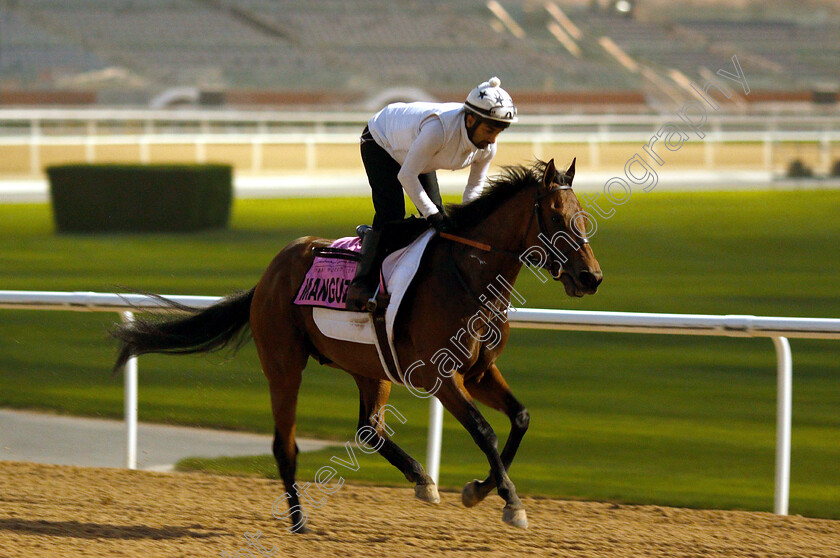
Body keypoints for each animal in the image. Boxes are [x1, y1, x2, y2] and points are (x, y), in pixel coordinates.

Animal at [110, 158, 604, 532]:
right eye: (556, 217)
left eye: (581, 216)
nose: (591, 277)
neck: (467, 275)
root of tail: (269, 273)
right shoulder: (441, 375)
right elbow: (484, 430)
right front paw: (510, 502)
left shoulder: (480, 372)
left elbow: (520, 418)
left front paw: (477, 490)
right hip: (284, 365)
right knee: (285, 444)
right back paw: (299, 520)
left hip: (370, 367)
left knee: (368, 428)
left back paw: (421, 478)